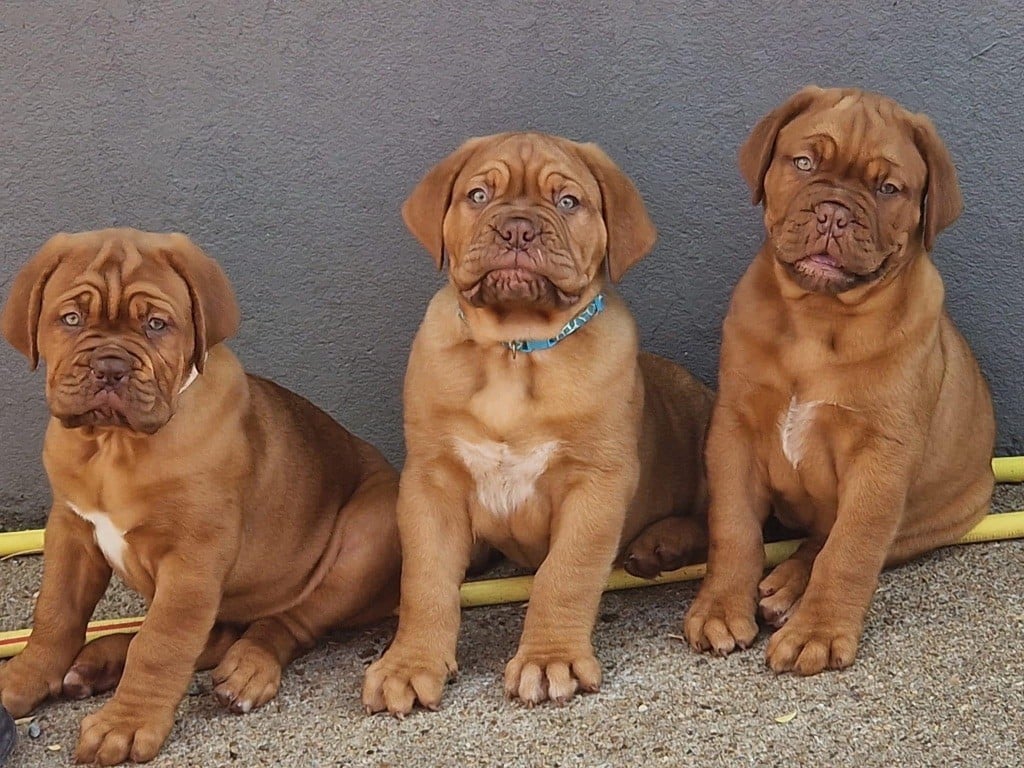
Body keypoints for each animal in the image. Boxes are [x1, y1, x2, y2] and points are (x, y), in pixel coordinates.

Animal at [0, 231, 399, 765]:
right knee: (216, 635)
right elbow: (55, 614)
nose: (110, 366)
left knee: (286, 623)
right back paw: (100, 662)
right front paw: (25, 676)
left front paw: (128, 722)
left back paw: (249, 668)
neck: (115, 445)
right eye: (71, 319)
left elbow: (162, 643)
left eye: (156, 324)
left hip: (368, 534)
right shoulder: (71, 530)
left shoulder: (193, 556)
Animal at [362, 131, 712, 716]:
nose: (518, 228)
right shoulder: (430, 481)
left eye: (568, 202)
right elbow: (425, 580)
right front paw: (409, 664)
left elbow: (565, 573)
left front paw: (550, 659)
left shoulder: (596, 483)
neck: (514, 350)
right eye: (479, 195)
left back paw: (665, 542)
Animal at [684, 88, 995, 671]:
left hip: (936, 518)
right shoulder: (734, 430)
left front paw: (819, 630)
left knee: (830, 543)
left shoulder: (881, 455)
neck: (818, 316)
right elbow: (733, 530)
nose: (833, 212)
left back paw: (790, 590)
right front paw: (719, 606)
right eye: (805, 163)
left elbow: (850, 548)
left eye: (887, 188)